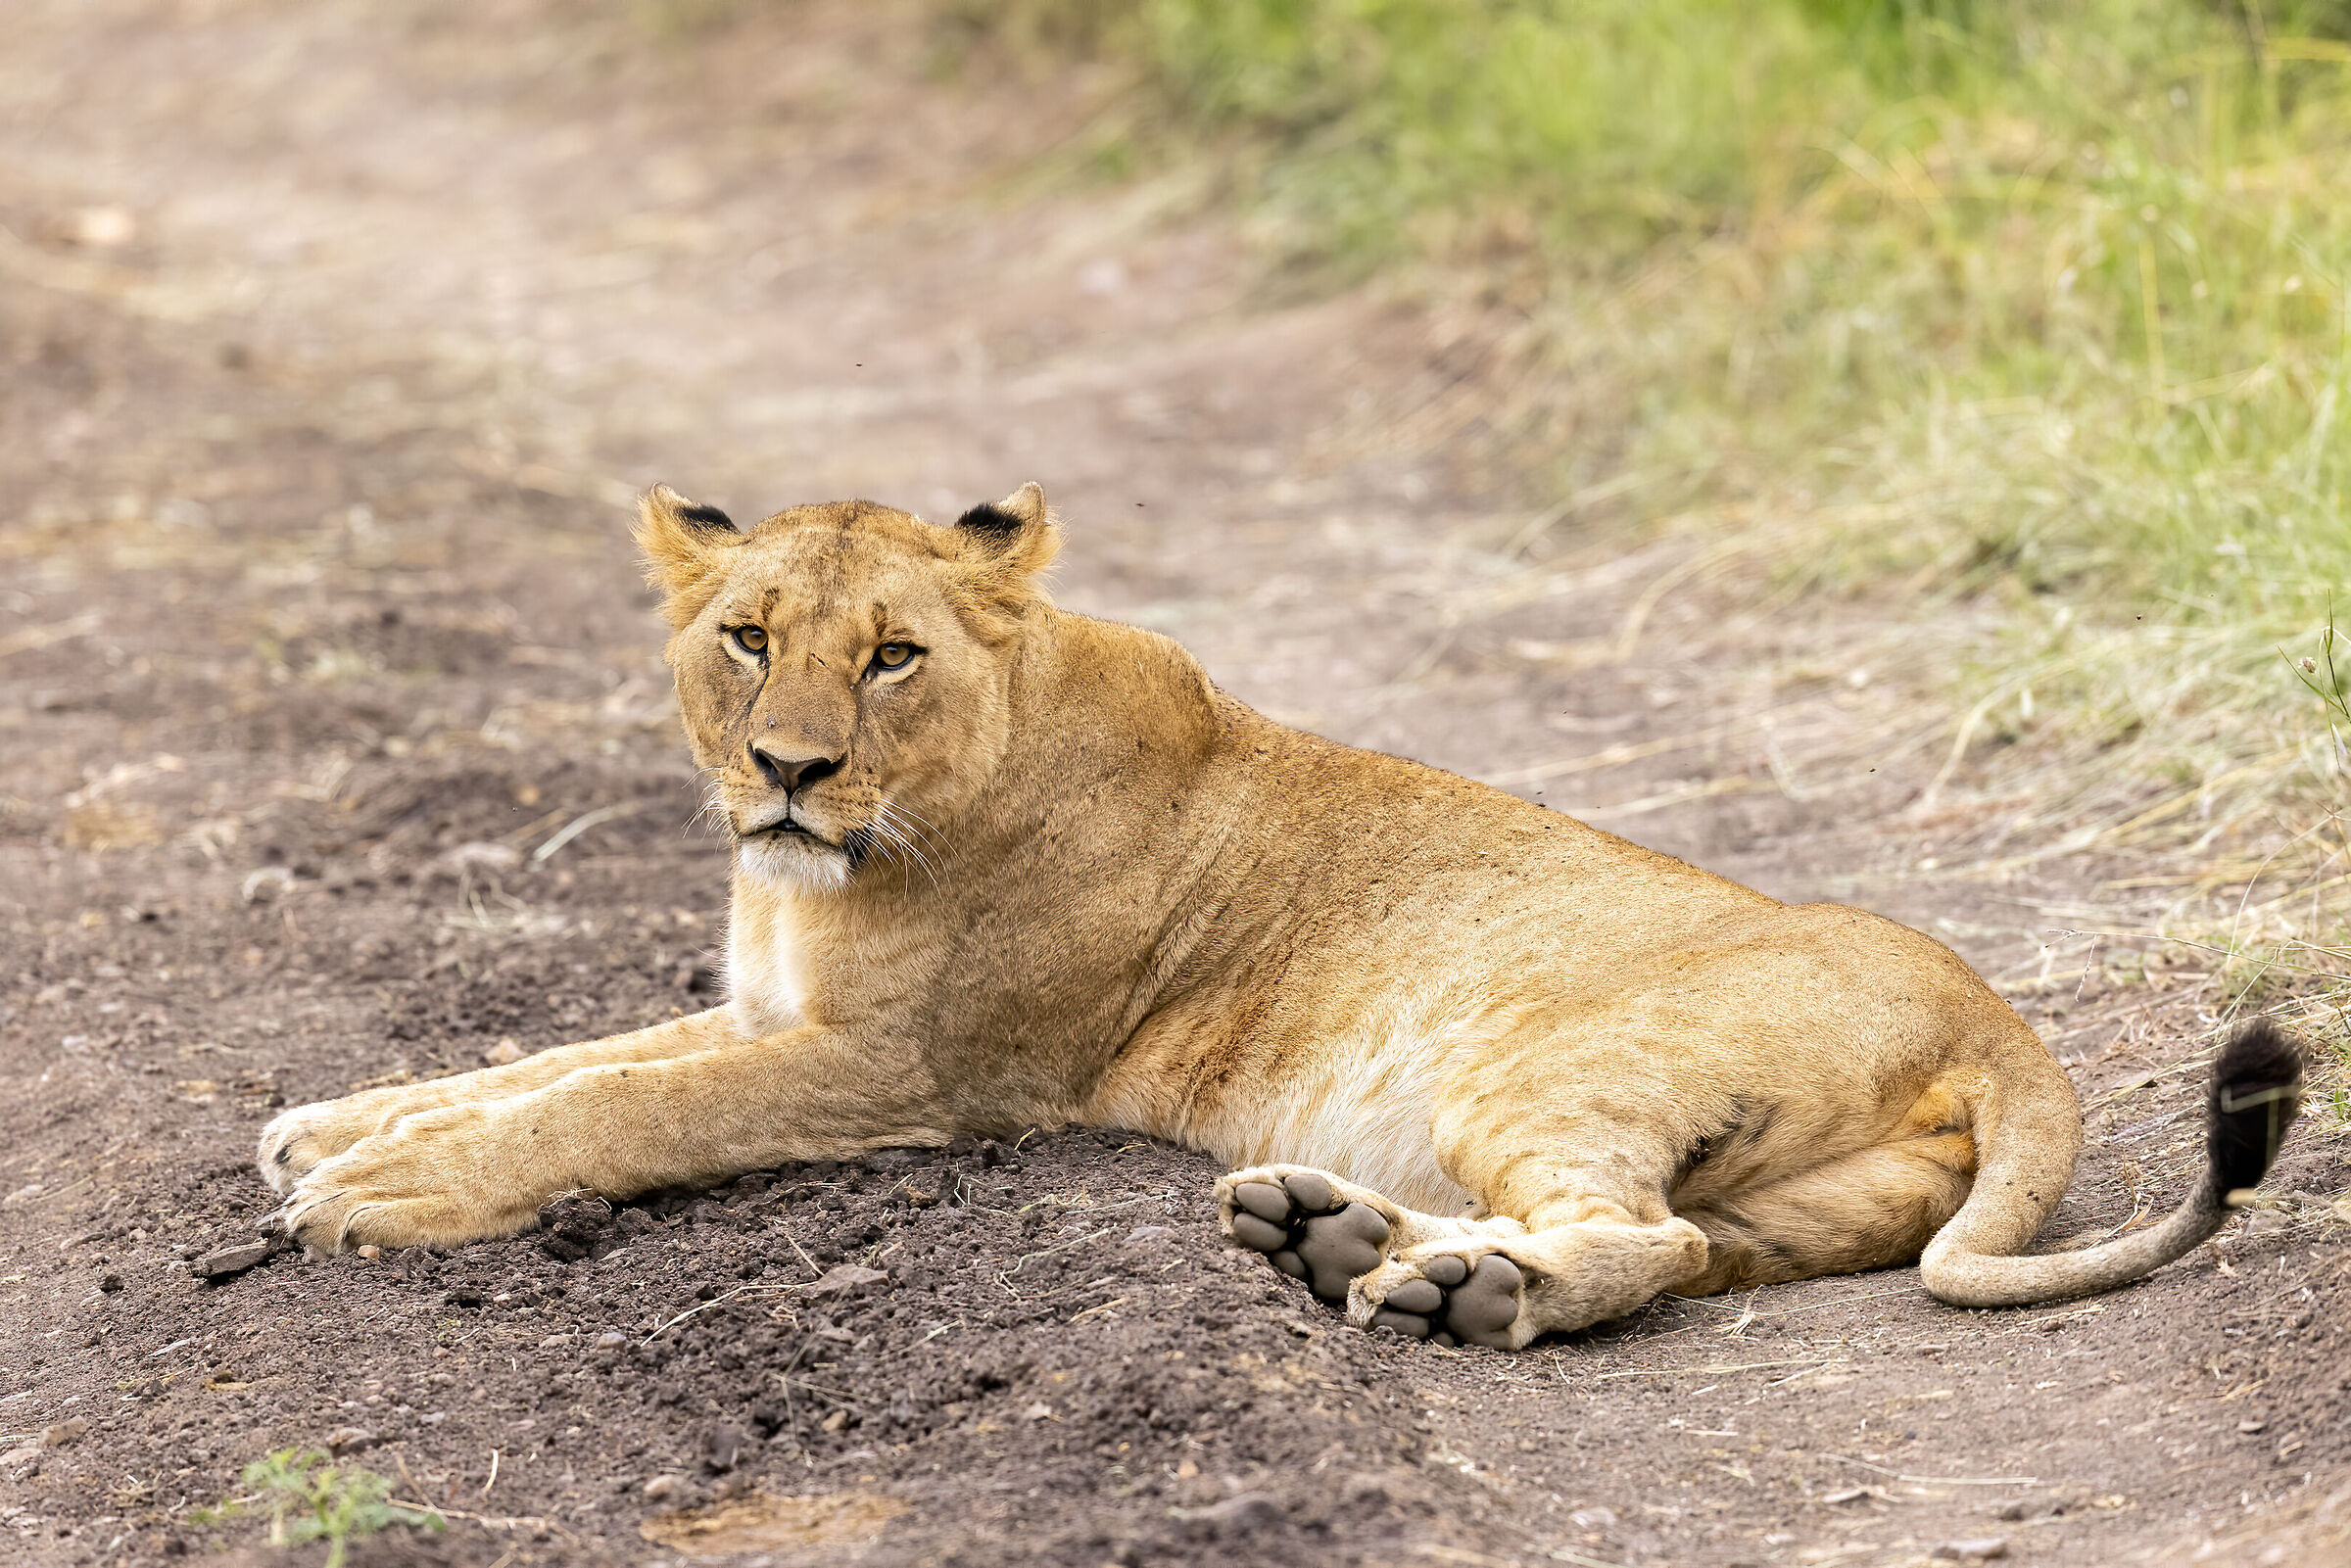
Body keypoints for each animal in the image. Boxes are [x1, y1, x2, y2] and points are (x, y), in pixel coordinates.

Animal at [258, 482, 2303, 1349]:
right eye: (747, 635)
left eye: (892, 653)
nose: (788, 769)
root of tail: (2003, 1020)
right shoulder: (779, 1013)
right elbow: (556, 1057)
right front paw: (335, 1126)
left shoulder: (906, 1072)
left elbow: (624, 1105)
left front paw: (381, 1193)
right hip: (1778, 1191)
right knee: (1689, 1246)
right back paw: (1355, 1244)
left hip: (1539, 1058)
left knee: (1636, 1239)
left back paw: (1448, 1291)